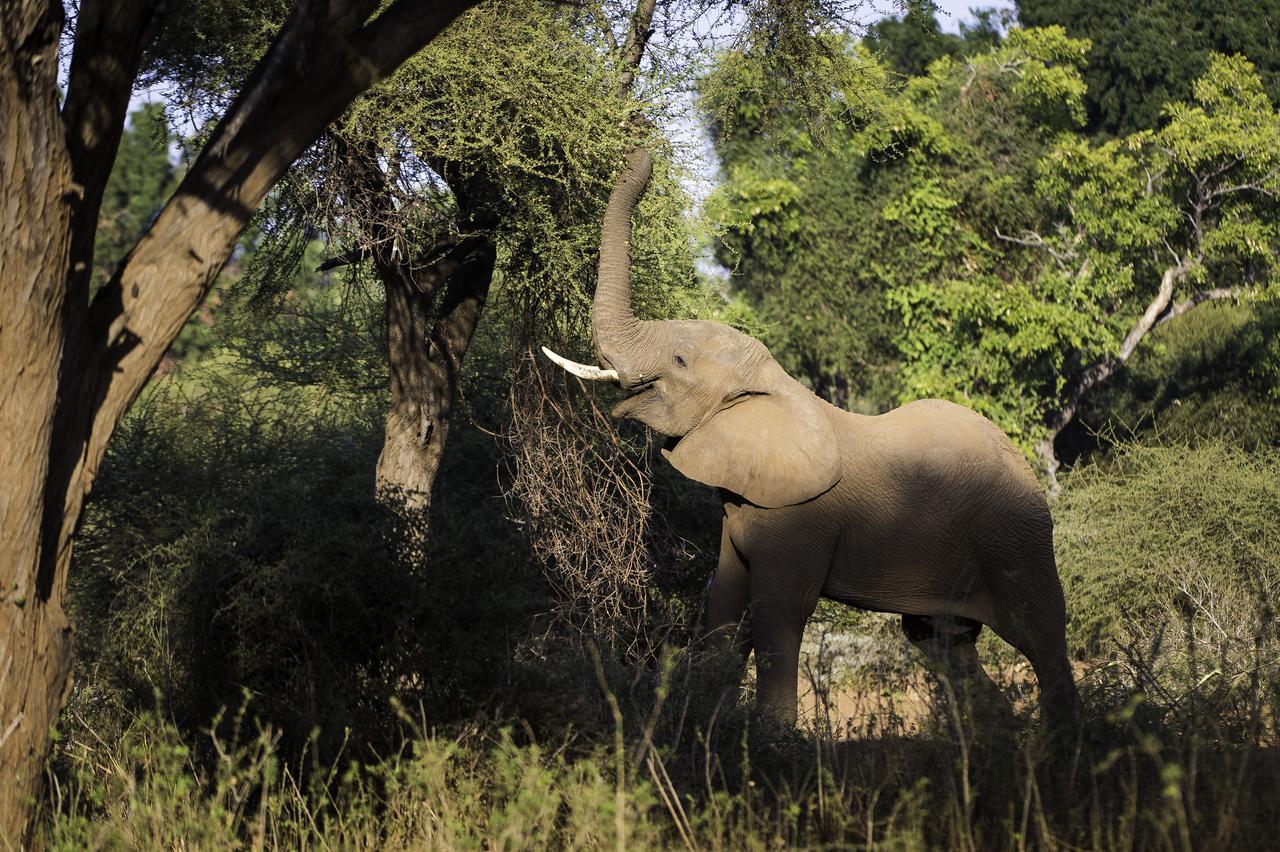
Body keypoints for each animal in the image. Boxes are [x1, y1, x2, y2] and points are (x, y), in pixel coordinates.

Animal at [540, 145, 1080, 731]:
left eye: (680, 361)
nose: (643, 150)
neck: (773, 387)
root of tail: (1027, 467)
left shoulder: (802, 519)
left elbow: (778, 610)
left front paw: (772, 738)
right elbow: (724, 602)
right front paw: (707, 717)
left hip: (1017, 538)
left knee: (1041, 637)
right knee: (942, 642)